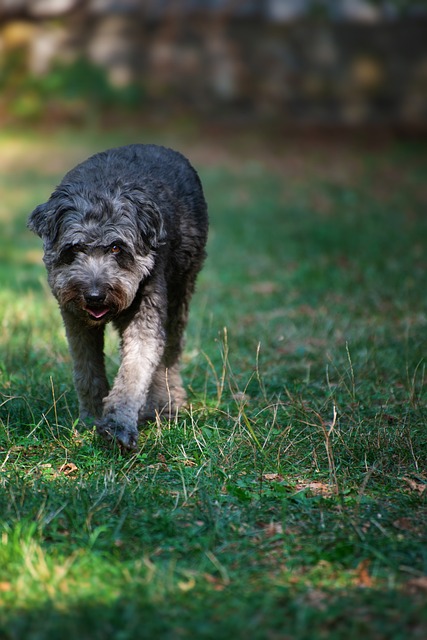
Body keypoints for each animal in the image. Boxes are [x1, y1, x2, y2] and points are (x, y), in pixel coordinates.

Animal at [28, 144, 209, 450]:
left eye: (116, 247)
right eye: (74, 248)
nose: (94, 296)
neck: (100, 188)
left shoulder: (146, 314)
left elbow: (134, 372)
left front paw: (118, 426)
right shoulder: (75, 319)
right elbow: (87, 369)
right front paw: (91, 418)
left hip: (182, 287)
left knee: (171, 351)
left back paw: (165, 404)